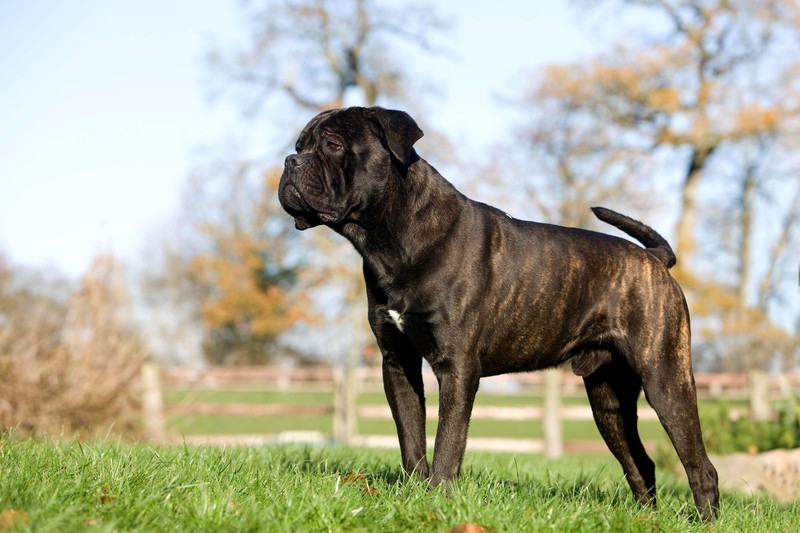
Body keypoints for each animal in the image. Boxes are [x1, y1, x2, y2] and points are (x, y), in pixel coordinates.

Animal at [278, 105, 720, 520]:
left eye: (333, 145)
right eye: (300, 145)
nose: (289, 161)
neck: (391, 239)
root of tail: (655, 259)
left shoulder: (457, 368)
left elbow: (448, 442)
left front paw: (437, 498)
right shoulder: (397, 363)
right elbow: (411, 437)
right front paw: (415, 493)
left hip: (665, 379)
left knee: (701, 465)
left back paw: (706, 520)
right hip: (608, 398)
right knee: (640, 462)